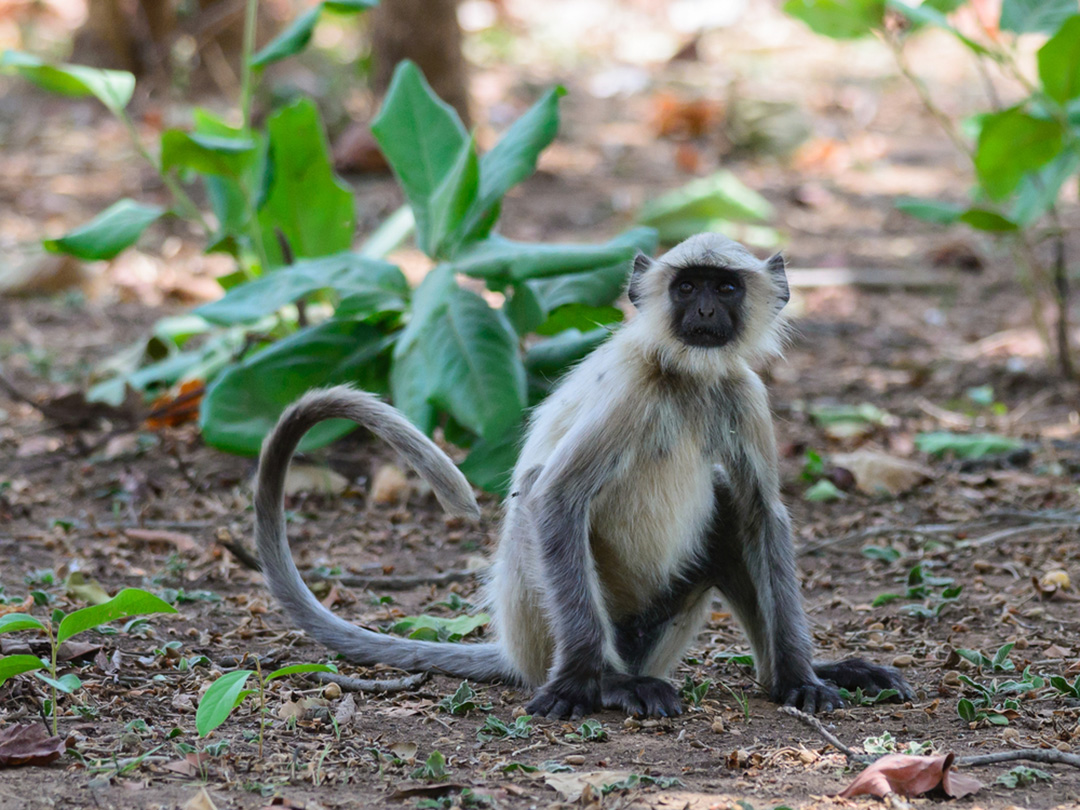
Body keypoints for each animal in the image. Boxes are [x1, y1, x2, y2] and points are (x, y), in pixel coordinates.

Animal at [252, 231, 911, 721]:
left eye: (724, 287)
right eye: (686, 286)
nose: (703, 310)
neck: (686, 379)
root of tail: (514, 651)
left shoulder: (742, 393)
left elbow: (761, 514)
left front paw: (802, 677)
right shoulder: (631, 391)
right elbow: (554, 497)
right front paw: (580, 685)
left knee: (729, 513)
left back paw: (783, 675)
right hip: (548, 629)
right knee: (534, 500)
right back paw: (607, 682)